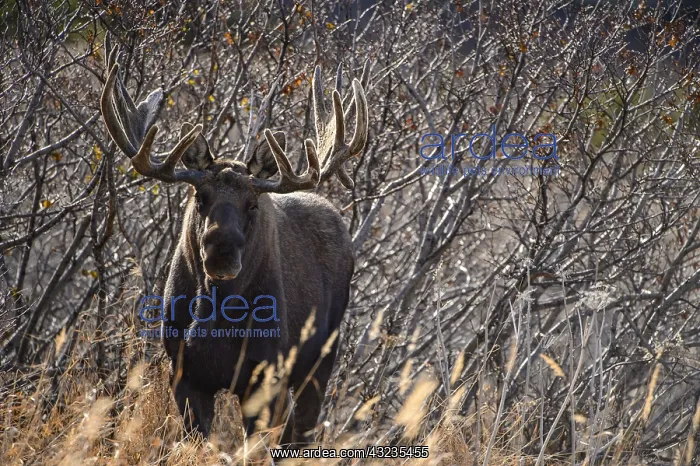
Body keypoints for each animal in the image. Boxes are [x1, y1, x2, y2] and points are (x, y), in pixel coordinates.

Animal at [99, 37, 368, 447]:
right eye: (200, 197)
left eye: (252, 203)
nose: (221, 254)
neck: (215, 320)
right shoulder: (184, 375)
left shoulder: (267, 376)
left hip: (321, 357)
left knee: (301, 431)